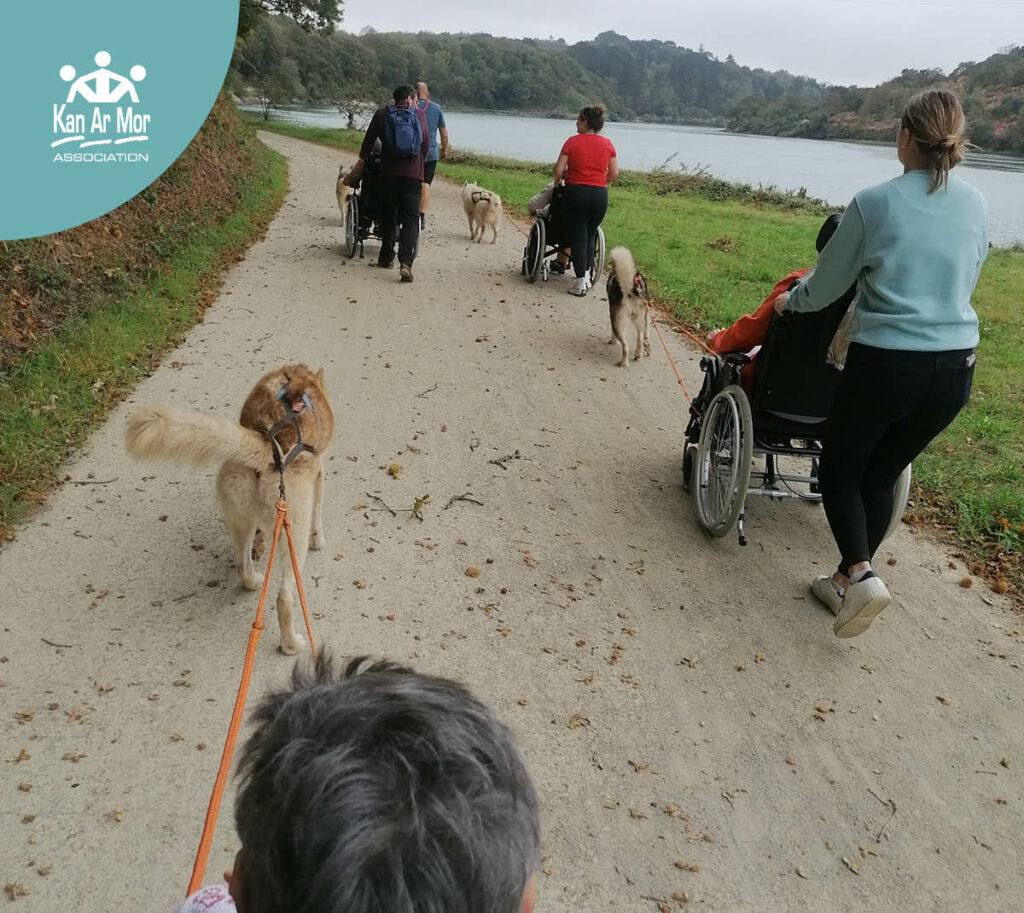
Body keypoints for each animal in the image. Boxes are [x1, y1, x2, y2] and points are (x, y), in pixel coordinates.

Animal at [123, 360, 331, 650]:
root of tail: (265, 444)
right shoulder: (318, 472)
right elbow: (318, 517)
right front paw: (319, 540)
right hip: (291, 533)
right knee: (284, 597)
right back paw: (293, 644)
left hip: (240, 517)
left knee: (242, 565)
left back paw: (253, 580)